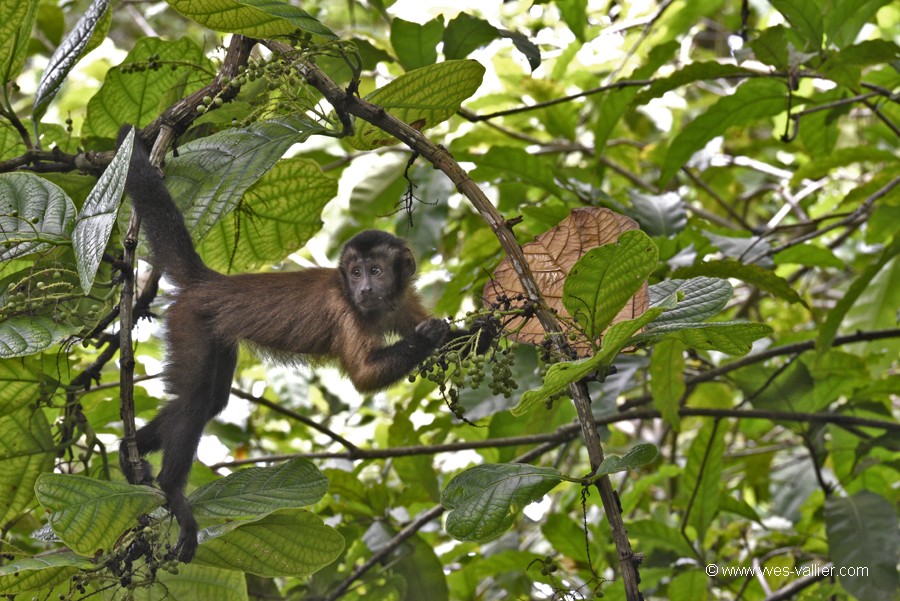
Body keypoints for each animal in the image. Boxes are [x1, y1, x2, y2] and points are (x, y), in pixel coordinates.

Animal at [116, 124, 478, 560]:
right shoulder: (344, 308)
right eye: (355, 273)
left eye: (375, 271)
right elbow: (365, 375)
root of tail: (210, 282)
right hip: (190, 321)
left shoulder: (403, 298)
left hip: (215, 331)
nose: (364, 288)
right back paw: (174, 493)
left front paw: (487, 326)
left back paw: (128, 451)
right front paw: (428, 336)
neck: (378, 305)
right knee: (197, 399)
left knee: (211, 400)